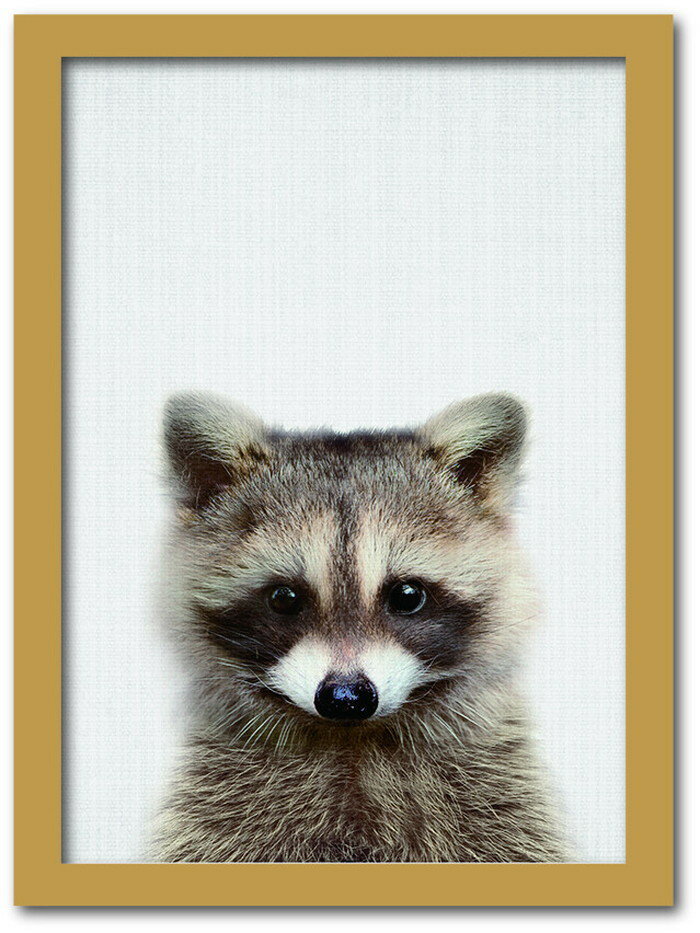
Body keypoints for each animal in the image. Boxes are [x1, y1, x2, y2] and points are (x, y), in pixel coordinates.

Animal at [151, 392, 567, 863]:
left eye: (407, 595)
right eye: (284, 598)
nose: (346, 698)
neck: (352, 743)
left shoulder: (501, 800)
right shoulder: (216, 813)